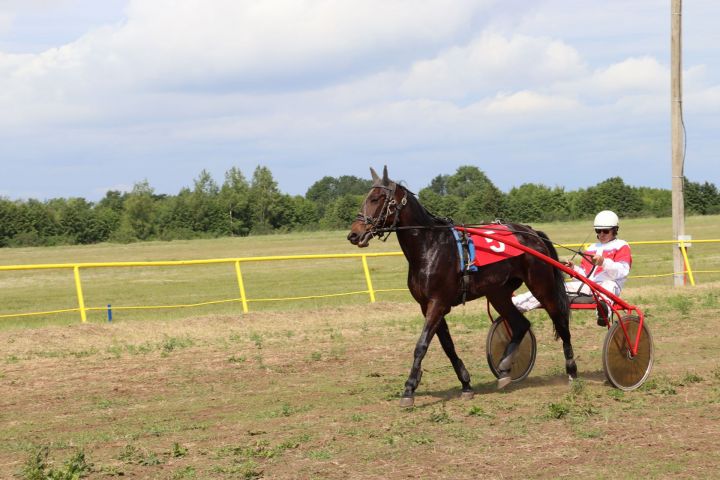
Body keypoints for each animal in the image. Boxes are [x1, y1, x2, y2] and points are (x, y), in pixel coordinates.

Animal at [346, 167, 576, 406]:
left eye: (376, 198)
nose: (354, 234)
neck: (430, 246)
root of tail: (532, 232)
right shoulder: (427, 305)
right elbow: (447, 345)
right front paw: (465, 384)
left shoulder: (438, 303)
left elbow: (421, 345)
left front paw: (409, 389)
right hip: (498, 292)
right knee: (521, 324)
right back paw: (504, 369)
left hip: (541, 285)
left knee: (560, 321)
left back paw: (571, 371)